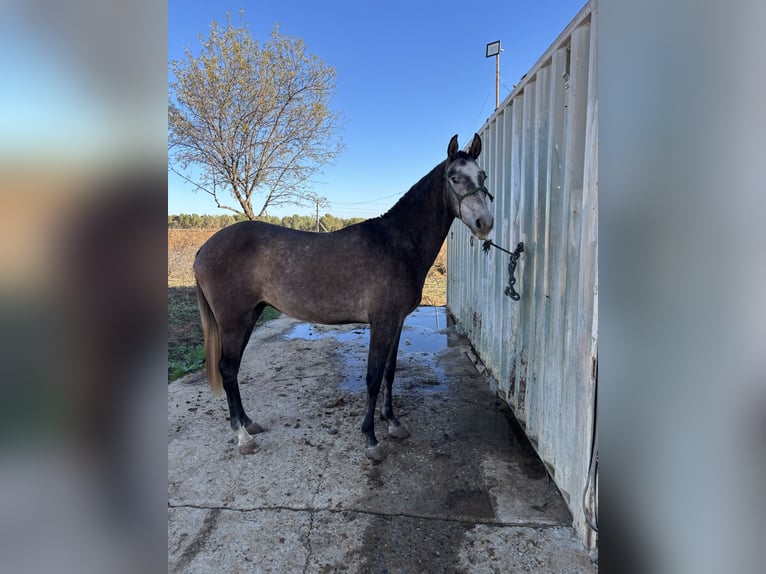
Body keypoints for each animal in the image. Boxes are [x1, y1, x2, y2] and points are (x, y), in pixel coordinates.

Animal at [194, 133, 494, 461]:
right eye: (454, 177)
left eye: (482, 176)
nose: (485, 223)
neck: (397, 243)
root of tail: (205, 248)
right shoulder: (382, 322)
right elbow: (373, 378)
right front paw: (371, 440)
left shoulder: (397, 322)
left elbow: (389, 372)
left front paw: (393, 423)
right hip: (234, 321)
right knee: (227, 369)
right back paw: (243, 437)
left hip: (250, 316)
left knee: (233, 370)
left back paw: (249, 423)